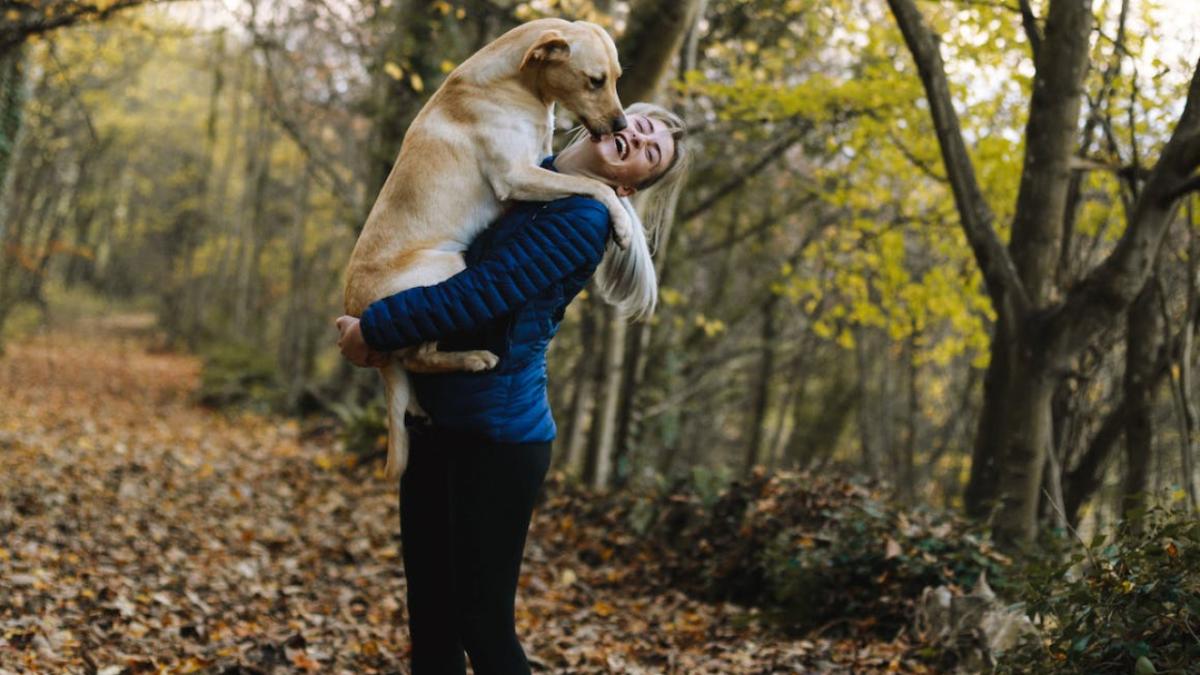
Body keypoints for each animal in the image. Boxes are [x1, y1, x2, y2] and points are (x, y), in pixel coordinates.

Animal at [343, 17, 633, 478]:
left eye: (617, 79)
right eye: (595, 81)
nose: (622, 126)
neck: (517, 83)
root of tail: (356, 310)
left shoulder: (537, 166)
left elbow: (584, 181)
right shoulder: (517, 176)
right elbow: (594, 186)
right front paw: (621, 222)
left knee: (412, 364)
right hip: (446, 268)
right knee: (420, 356)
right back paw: (473, 359)